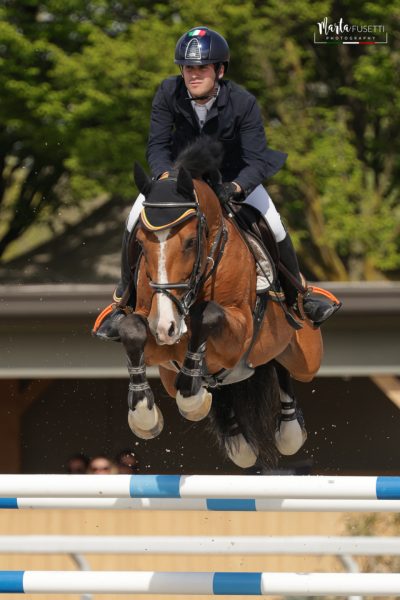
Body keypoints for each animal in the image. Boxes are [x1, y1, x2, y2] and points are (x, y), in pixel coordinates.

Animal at [118, 139, 322, 468]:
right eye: (140, 242)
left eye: (191, 242)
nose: (166, 327)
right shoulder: (159, 345)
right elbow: (131, 329)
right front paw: (144, 416)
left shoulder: (240, 331)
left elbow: (208, 315)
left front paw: (191, 395)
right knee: (224, 388)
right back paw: (238, 440)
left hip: (306, 356)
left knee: (282, 366)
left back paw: (289, 431)